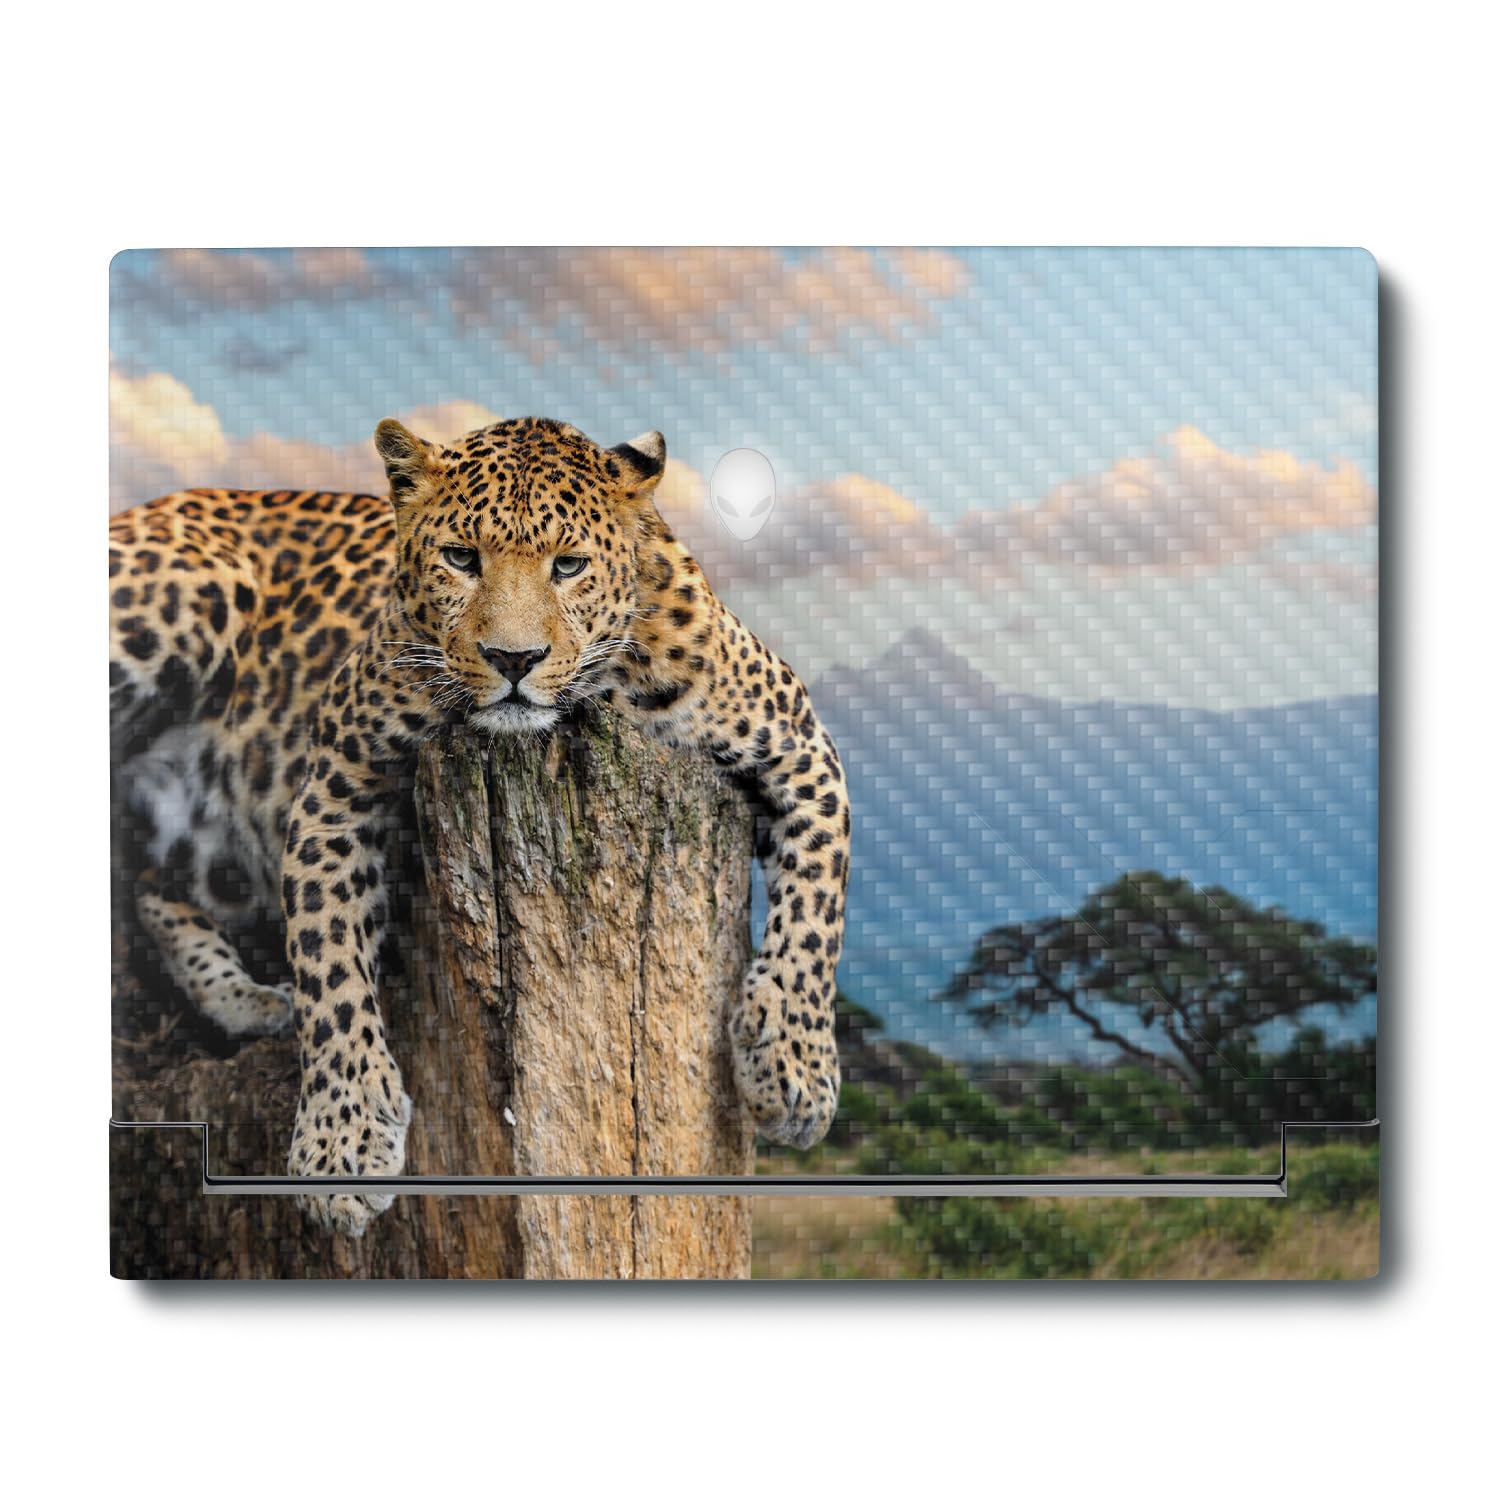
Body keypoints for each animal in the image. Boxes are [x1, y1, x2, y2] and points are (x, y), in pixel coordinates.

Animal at [109, 416, 851, 1234]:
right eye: (462, 558)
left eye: (569, 565)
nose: (514, 659)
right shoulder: (336, 783)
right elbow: (329, 963)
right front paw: (341, 1146)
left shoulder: (801, 745)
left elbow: (818, 909)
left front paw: (794, 1071)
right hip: (183, 601)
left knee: (143, 877)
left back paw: (242, 999)